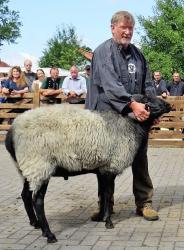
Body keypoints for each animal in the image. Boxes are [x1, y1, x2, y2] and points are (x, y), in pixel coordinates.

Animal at [4, 94, 171, 242]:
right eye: (146, 99)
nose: (169, 105)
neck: (130, 124)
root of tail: (12, 130)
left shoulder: (102, 169)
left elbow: (102, 194)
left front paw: (101, 217)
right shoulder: (111, 167)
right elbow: (108, 194)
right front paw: (108, 222)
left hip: (27, 168)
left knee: (25, 195)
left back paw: (35, 224)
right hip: (40, 165)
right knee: (37, 200)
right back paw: (49, 234)